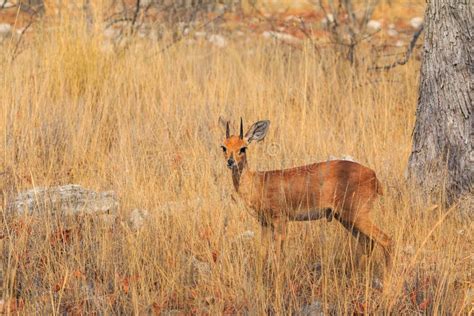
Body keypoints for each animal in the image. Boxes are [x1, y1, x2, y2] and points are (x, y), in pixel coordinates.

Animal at [221, 118, 392, 270]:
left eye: (243, 148)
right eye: (223, 146)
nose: (230, 162)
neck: (259, 182)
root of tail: (373, 176)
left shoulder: (280, 220)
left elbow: (279, 255)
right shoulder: (264, 223)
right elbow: (263, 253)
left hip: (357, 215)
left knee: (386, 240)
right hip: (346, 219)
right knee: (367, 243)